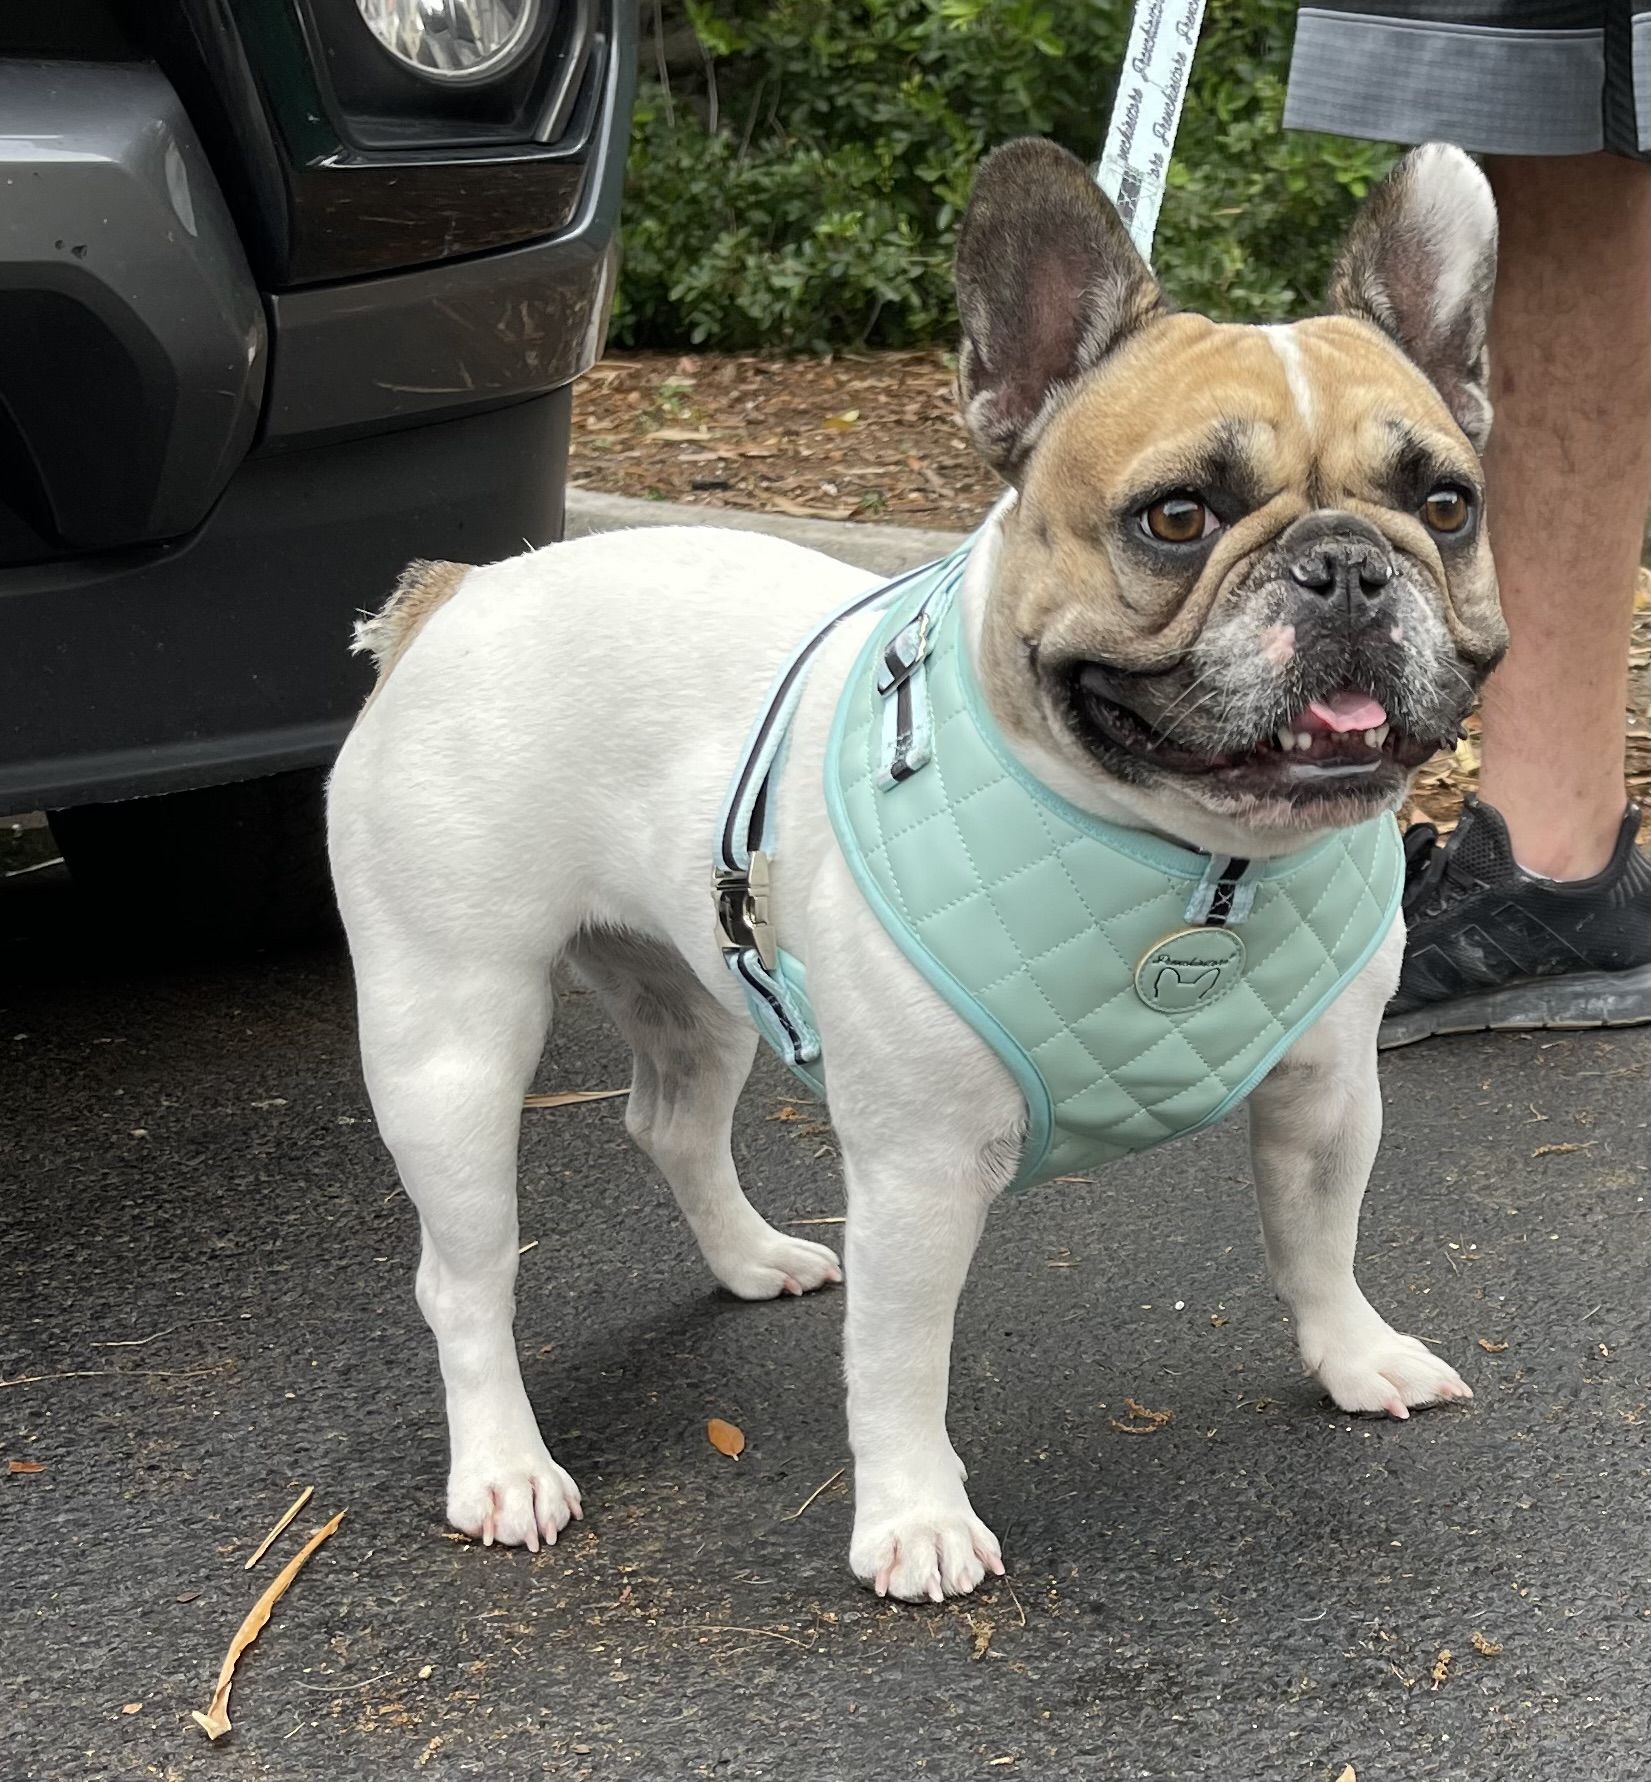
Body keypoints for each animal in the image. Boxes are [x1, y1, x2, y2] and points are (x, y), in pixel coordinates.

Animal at [328, 138, 1505, 1602]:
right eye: (1178, 518)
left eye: (1445, 506)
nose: (1344, 566)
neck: (1199, 855)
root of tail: (458, 595)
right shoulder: (920, 1173)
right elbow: (899, 1363)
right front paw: (912, 1517)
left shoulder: (1325, 1096)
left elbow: (1319, 1238)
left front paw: (1352, 1355)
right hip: (453, 1039)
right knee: (465, 1275)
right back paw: (502, 1465)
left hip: (699, 978)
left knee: (670, 1121)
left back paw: (750, 1258)